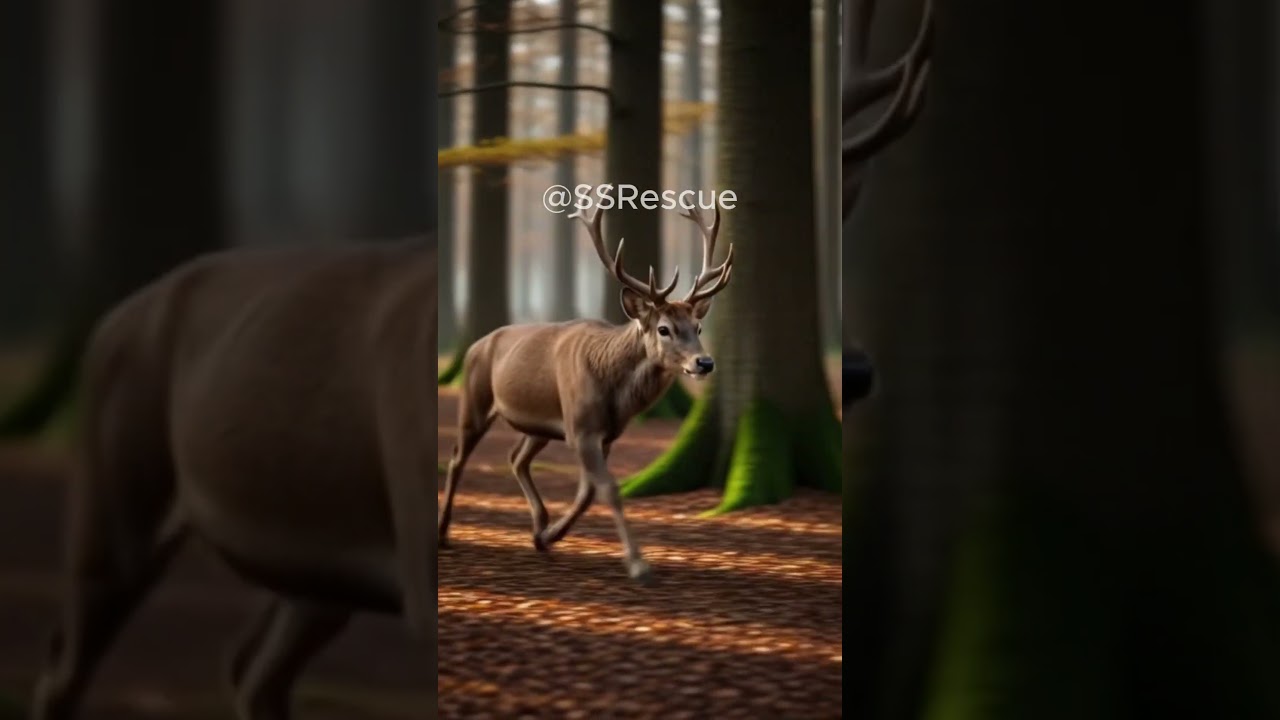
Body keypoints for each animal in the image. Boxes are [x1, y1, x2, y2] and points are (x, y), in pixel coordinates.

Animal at [29, 239, 438, 720]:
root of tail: (108, 321)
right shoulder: (421, 565)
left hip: (313, 574)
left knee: (251, 667)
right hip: (112, 512)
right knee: (63, 667)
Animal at [437, 203, 733, 583]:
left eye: (697, 327)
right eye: (664, 329)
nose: (705, 362)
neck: (613, 392)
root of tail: (475, 346)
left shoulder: (602, 434)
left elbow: (588, 491)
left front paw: (549, 536)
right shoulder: (580, 427)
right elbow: (608, 489)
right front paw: (638, 563)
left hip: (540, 425)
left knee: (516, 457)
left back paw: (539, 525)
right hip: (475, 401)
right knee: (458, 458)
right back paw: (444, 533)